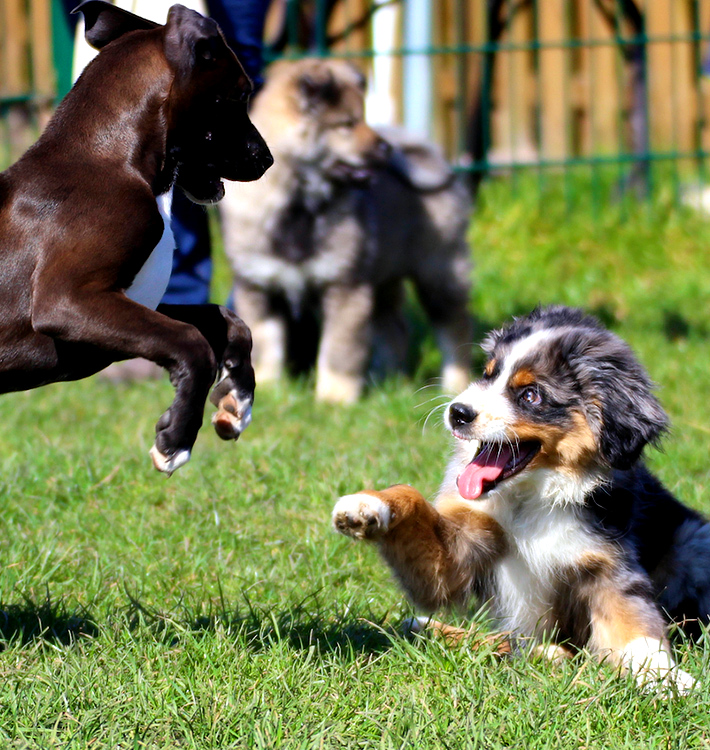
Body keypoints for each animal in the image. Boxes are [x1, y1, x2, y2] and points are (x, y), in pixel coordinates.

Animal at [0, 1, 272, 476]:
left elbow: (225, 321)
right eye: (240, 94)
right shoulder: (66, 301)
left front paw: (237, 400)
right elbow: (192, 343)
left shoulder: (130, 305)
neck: (107, 158)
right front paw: (176, 439)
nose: (267, 158)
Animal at [336, 306, 710, 692]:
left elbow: (636, 626)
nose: (457, 412)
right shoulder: (460, 547)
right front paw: (365, 506)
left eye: (531, 395)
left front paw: (667, 678)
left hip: (695, 542)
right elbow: (411, 501)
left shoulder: (610, 564)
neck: (534, 496)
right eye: (487, 375)